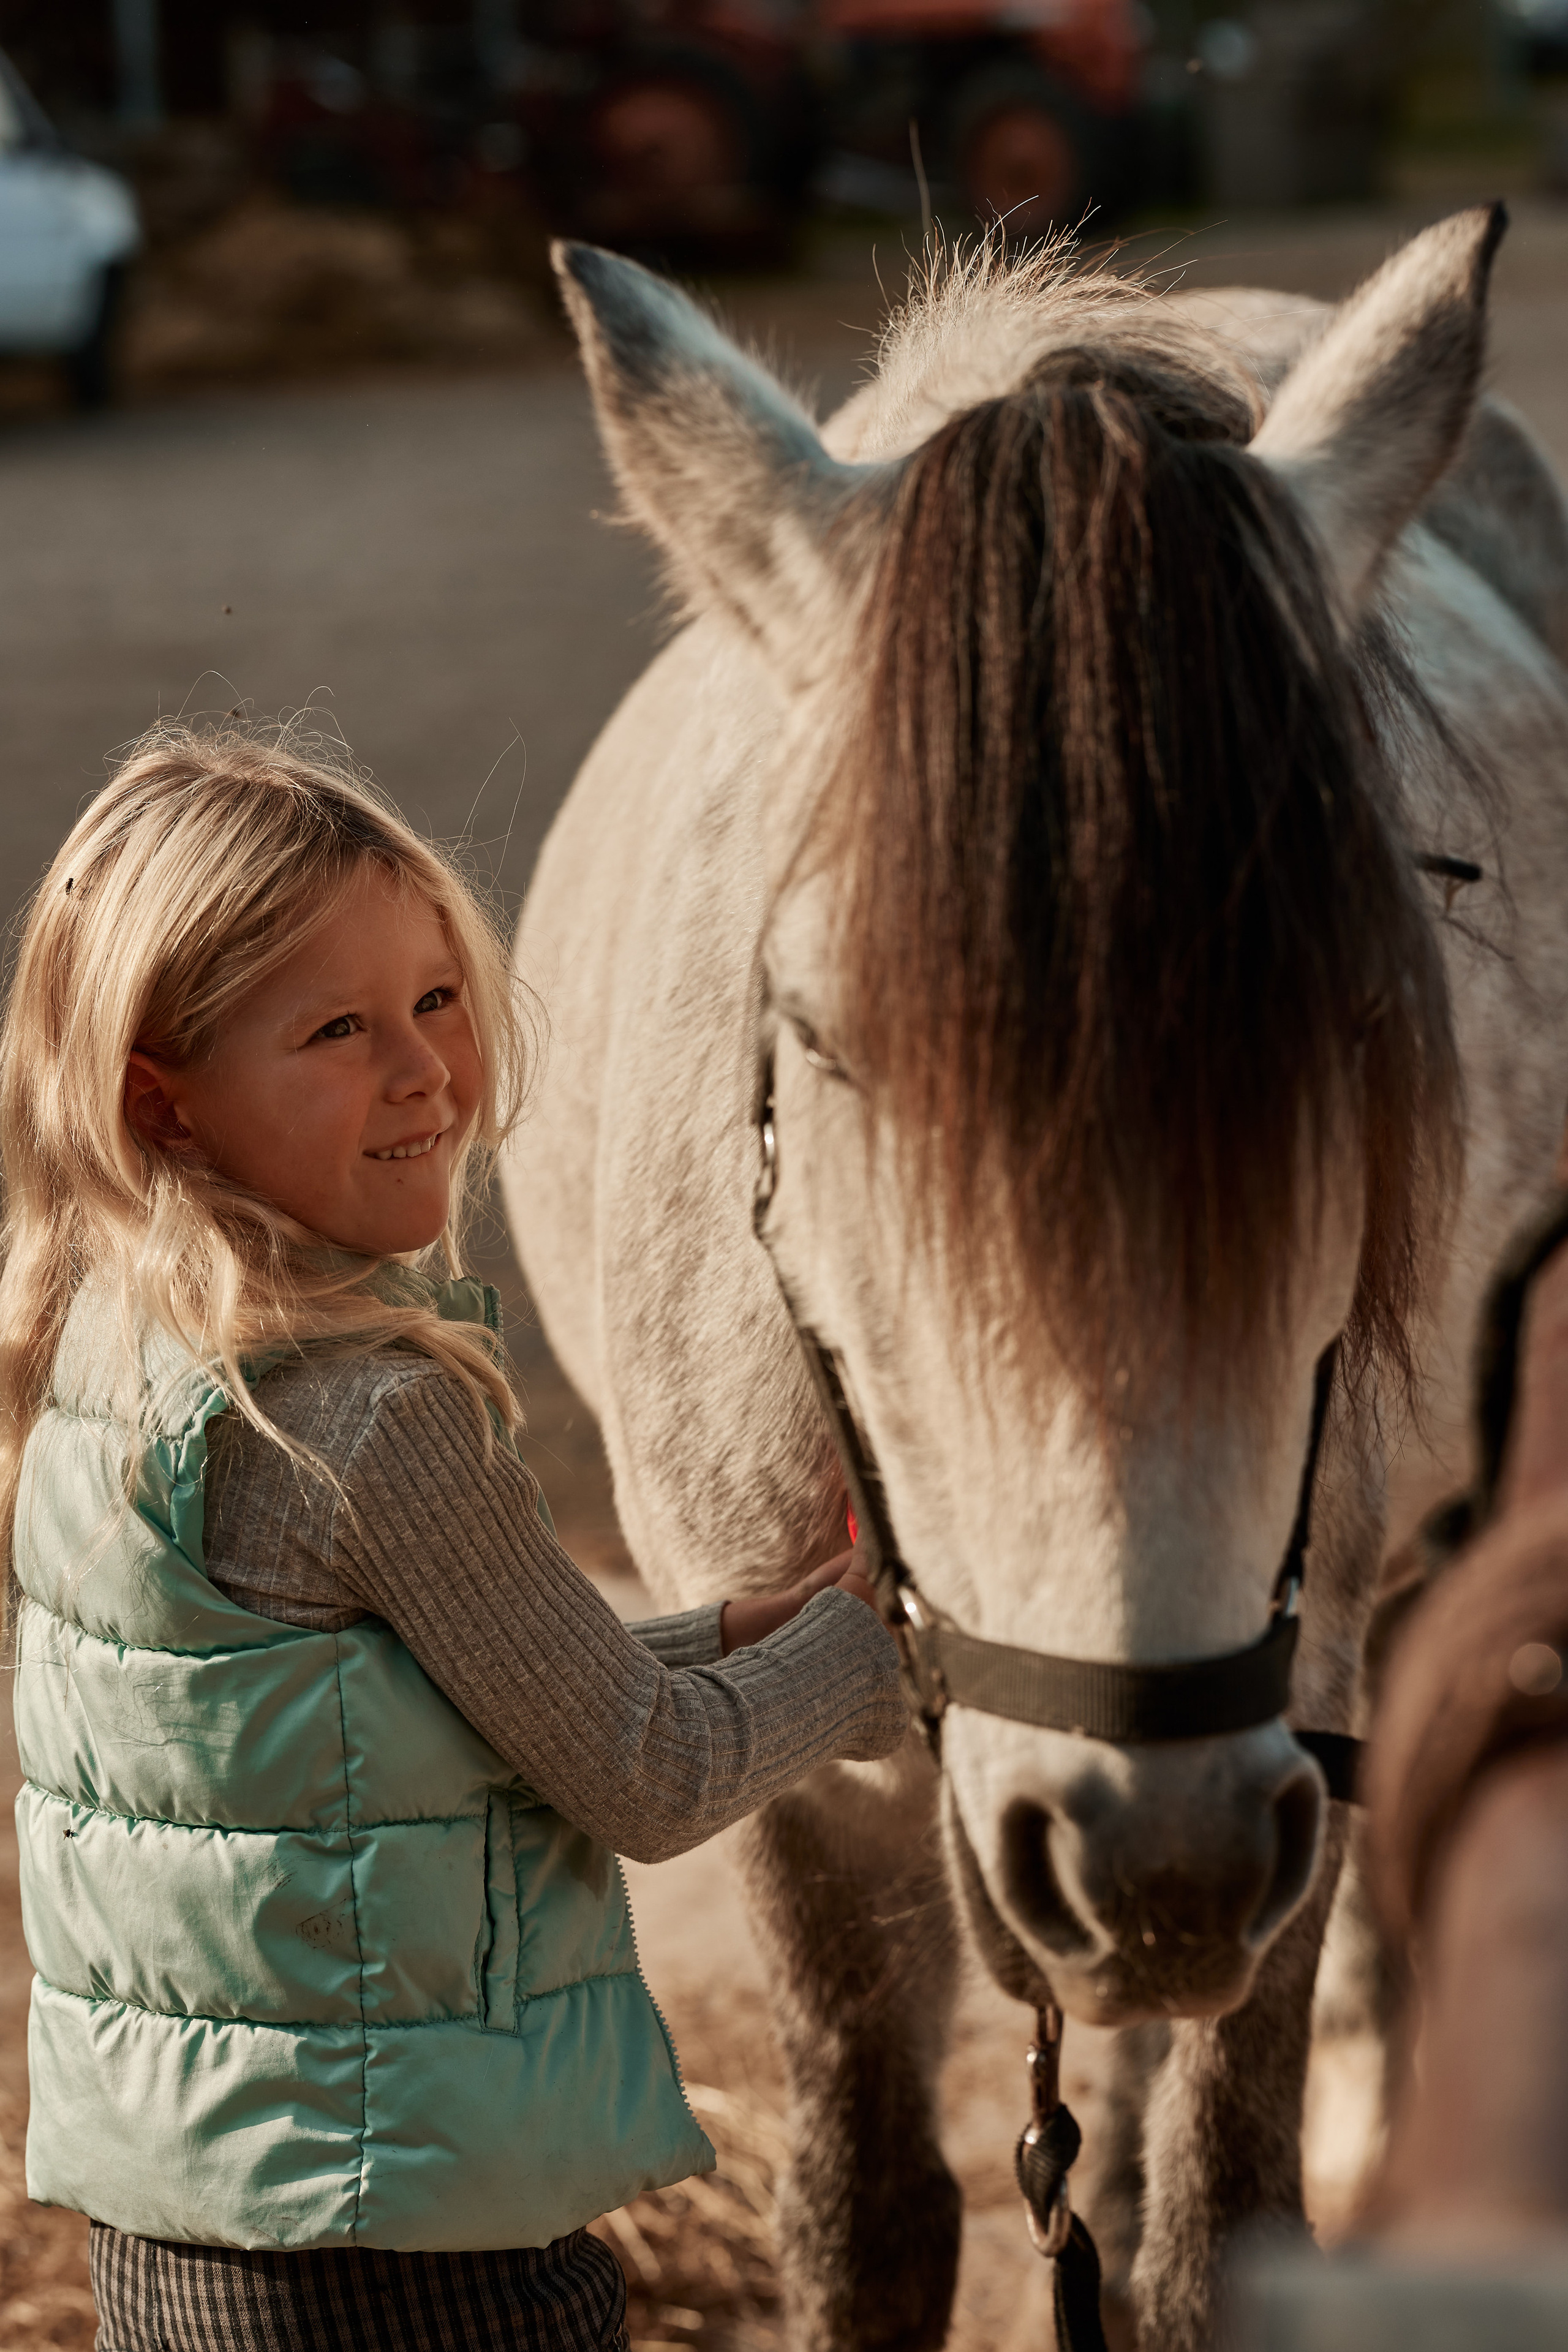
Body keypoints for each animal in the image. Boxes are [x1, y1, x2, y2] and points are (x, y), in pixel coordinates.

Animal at [499, 208, 1568, 2348]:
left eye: (1366, 1028)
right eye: (821, 1036)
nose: (1148, 1862)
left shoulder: (1296, 1699)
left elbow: (1217, 2219)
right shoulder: (792, 1782)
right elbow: (870, 2214)